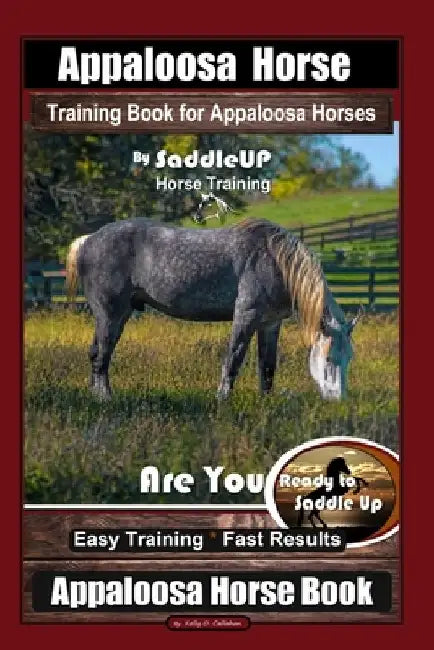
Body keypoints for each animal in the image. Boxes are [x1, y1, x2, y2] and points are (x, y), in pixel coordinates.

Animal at [65, 217, 362, 401]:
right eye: (328, 357)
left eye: (349, 357)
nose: (338, 400)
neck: (276, 261)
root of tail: (88, 240)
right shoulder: (246, 316)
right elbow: (233, 358)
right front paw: (222, 399)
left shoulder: (269, 324)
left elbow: (267, 366)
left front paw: (265, 402)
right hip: (110, 315)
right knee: (101, 356)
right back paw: (105, 398)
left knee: (96, 353)